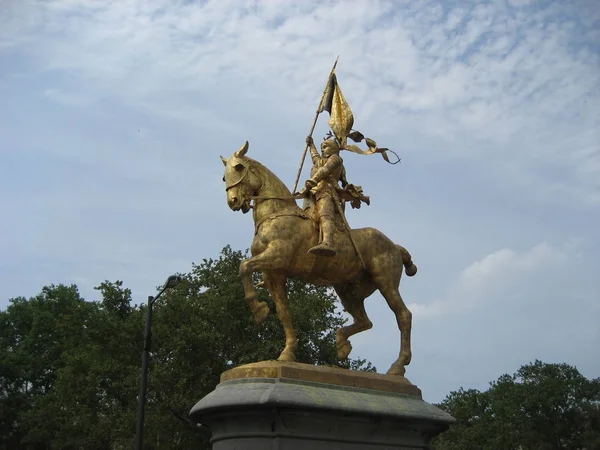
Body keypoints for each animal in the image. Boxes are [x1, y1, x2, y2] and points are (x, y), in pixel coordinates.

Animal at [221, 141, 418, 376]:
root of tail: (395, 246)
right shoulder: (273, 274)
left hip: (386, 283)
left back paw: (398, 366)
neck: (276, 213)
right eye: (224, 176)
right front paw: (286, 352)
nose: (233, 201)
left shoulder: (277, 257)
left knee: (403, 316)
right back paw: (342, 344)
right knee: (365, 321)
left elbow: (244, 266)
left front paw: (259, 310)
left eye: (239, 167)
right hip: (348, 290)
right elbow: (283, 312)